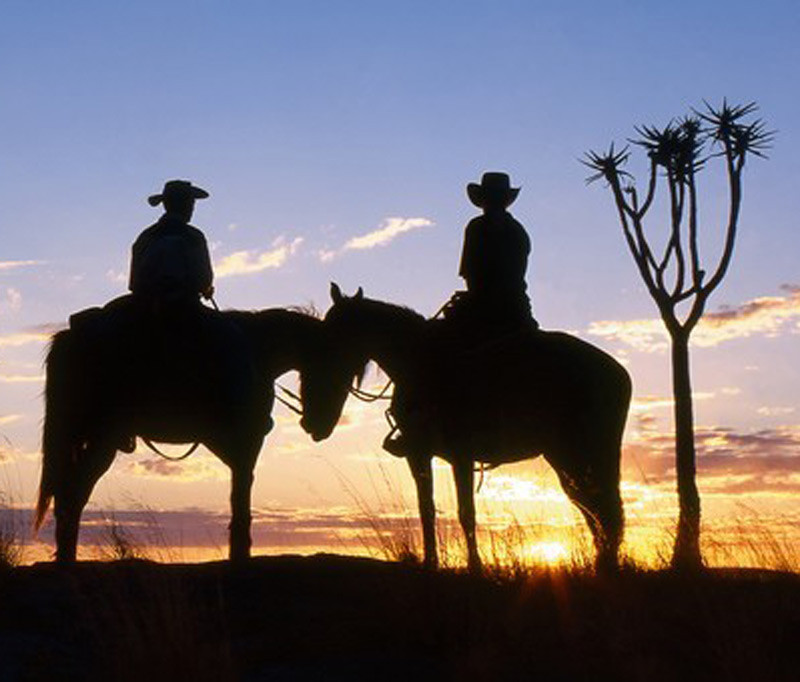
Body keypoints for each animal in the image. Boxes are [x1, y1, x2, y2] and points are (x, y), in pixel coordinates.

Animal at [34, 306, 366, 560]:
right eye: (338, 371)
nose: (320, 426)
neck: (258, 351)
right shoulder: (248, 440)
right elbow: (241, 492)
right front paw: (240, 552)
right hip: (102, 437)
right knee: (73, 492)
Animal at [322, 284, 636, 572]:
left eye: (337, 335)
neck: (422, 365)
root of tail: (618, 372)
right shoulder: (418, 453)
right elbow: (427, 509)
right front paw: (430, 563)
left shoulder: (461, 455)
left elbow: (466, 513)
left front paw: (475, 566)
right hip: (567, 457)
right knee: (592, 505)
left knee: (601, 506)